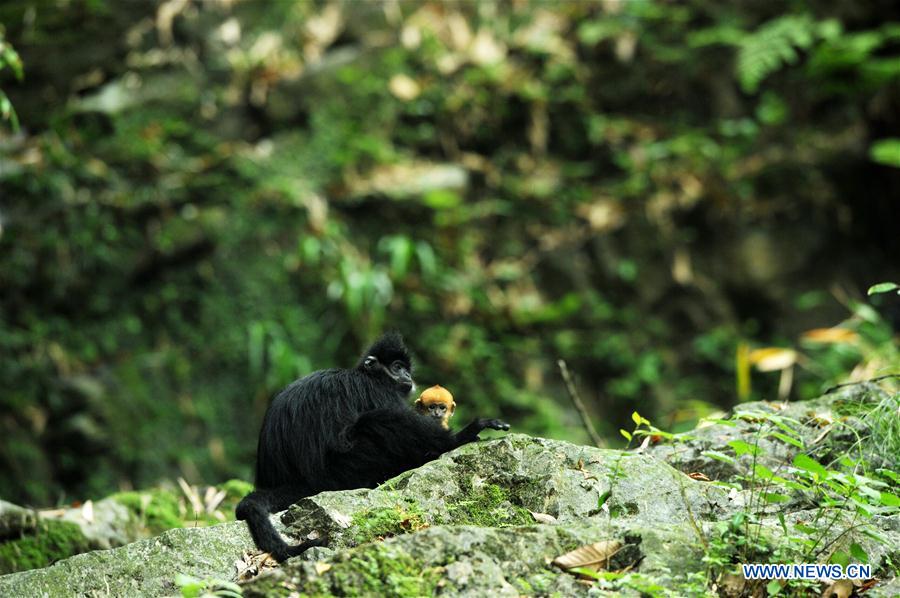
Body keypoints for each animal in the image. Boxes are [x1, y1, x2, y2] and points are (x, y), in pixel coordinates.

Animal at [236, 332, 510, 564]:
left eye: (406, 368)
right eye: (397, 367)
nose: (408, 377)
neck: (368, 374)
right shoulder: (377, 390)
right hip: (347, 468)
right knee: (379, 418)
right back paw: (456, 439)